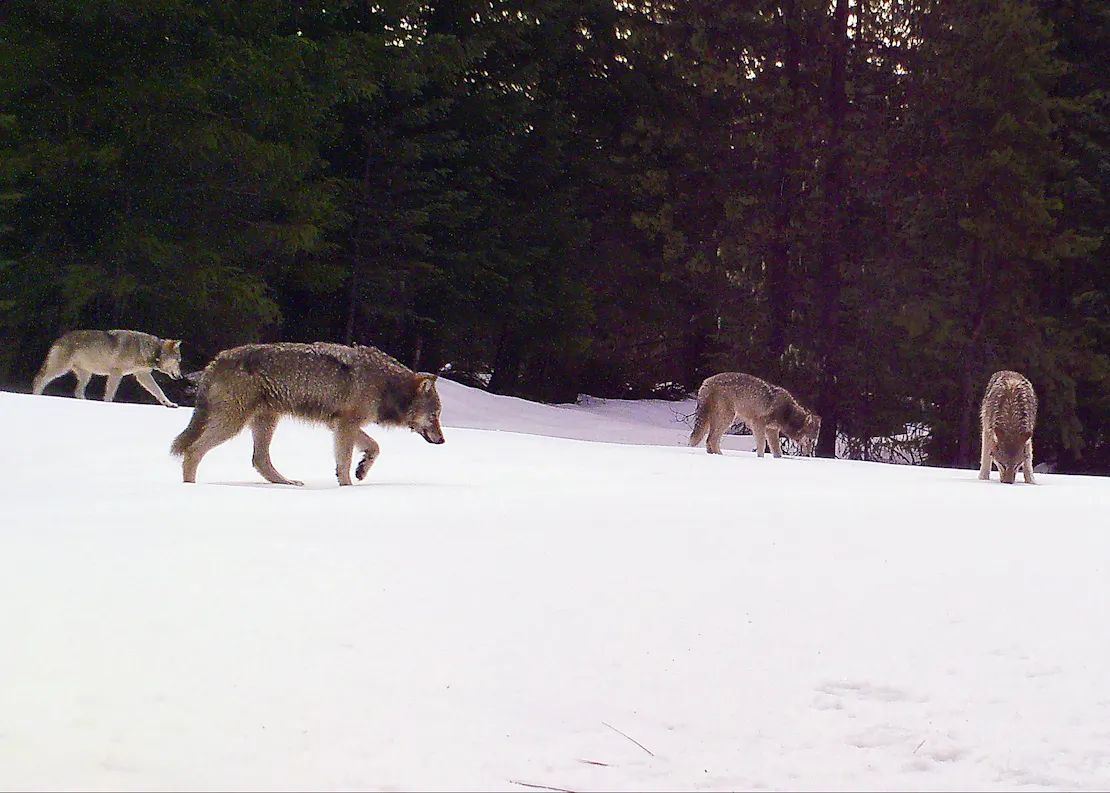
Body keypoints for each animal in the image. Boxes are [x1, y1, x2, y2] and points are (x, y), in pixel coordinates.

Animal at [32, 329, 183, 407]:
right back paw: (35, 396)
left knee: (77, 392)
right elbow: (110, 393)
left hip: (86, 376)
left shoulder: (142, 375)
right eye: (178, 361)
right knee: (39, 379)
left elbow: (159, 392)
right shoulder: (116, 373)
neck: (152, 351)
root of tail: (58, 339)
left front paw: (169, 404)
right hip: (60, 369)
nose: (181, 376)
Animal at [170, 341, 446, 486]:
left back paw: (287, 483)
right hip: (232, 423)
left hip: (266, 422)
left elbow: (374, 447)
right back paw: (190, 489)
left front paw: (362, 469)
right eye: (435, 416)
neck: (385, 385)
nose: (443, 440)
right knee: (193, 451)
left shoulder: (341, 425)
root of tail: (217, 359)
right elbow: (346, 462)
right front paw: (348, 488)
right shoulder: (346, 425)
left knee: (259, 460)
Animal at [689, 372, 821, 457]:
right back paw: (721, 456)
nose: (808, 455)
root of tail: (705, 383)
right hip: (727, 420)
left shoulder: (772, 430)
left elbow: (777, 451)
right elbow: (761, 446)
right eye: (810, 440)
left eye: (814, 442)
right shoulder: (758, 424)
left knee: (708, 440)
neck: (787, 412)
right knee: (712, 440)